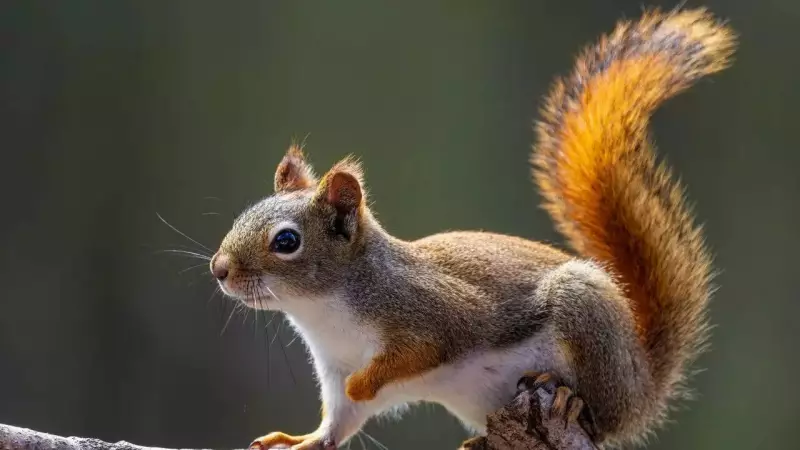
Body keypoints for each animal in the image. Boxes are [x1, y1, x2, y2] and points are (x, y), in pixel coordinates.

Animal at [209, 7, 735, 450]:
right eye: (243, 215)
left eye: (287, 241)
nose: (219, 269)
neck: (323, 311)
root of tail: (643, 386)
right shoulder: (334, 370)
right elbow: (338, 423)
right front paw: (301, 440)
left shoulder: (434, 313)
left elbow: (417, 353)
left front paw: (366, 382)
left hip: (587, 319)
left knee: (601, 417)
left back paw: (567, 396)